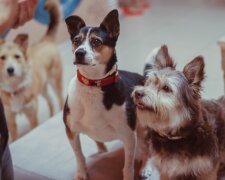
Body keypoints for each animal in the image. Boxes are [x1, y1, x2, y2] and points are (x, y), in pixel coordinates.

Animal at [0, 0, 63, 141]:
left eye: (17, 56)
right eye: (2, 58)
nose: (10, 70)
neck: (14, 88)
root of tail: (45, 40)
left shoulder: (32, 115)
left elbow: (34, 126)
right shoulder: (10, 120)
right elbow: (14, 138)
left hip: (55, 83)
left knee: (60, 99)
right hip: (42, 89)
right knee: (50, 101)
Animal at [63, 9, 144, 180]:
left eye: (96, 41)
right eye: (76, 41)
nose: (79, 52)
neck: (93, 85)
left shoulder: (128, 136)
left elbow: (128, 166)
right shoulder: (71, 131)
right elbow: (79, 156)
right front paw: (81, 173)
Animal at [133, 45, 225, 180]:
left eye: (166, 88)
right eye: (148, 83)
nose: (137, 93)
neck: (176, 137)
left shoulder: (206, 171)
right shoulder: (166, 171)